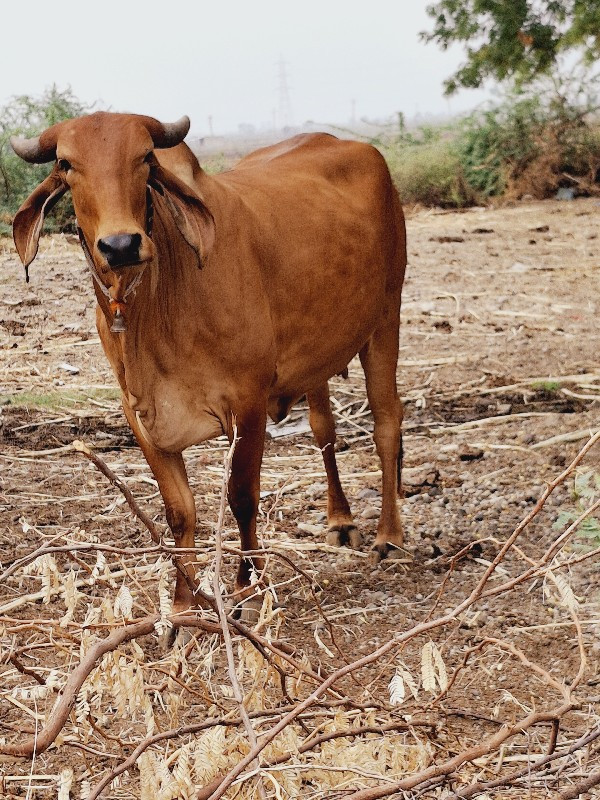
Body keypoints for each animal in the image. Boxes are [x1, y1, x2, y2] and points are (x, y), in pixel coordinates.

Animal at [11, 111, 408, 612]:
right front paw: (184, 601)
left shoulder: (248, 403)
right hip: (319, 353)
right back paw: (340, 521)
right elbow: (180, 511)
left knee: (386, 421)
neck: (157, 305)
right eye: (66, 163)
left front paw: (248, 584)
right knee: (324, 430)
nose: (120, 245)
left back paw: (389, 536)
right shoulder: (140, 415)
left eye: (145, 157)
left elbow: (241, 497)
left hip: (386, 316)